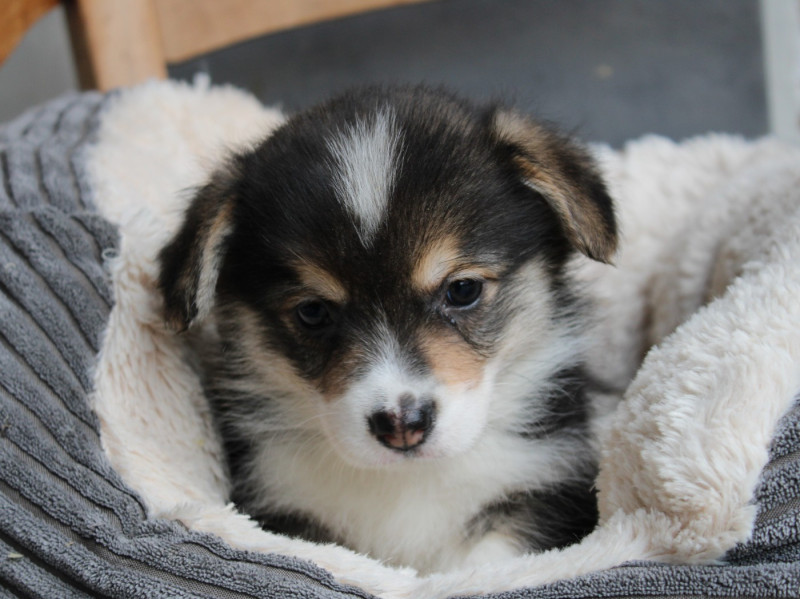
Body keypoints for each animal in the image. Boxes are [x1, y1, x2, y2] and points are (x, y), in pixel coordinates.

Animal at [157, 85, 617, 573]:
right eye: (313, 312)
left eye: (463, 289)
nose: (402, 425)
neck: (407, 481)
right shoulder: (282, 508)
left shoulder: (547, 492)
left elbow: (484, 564)